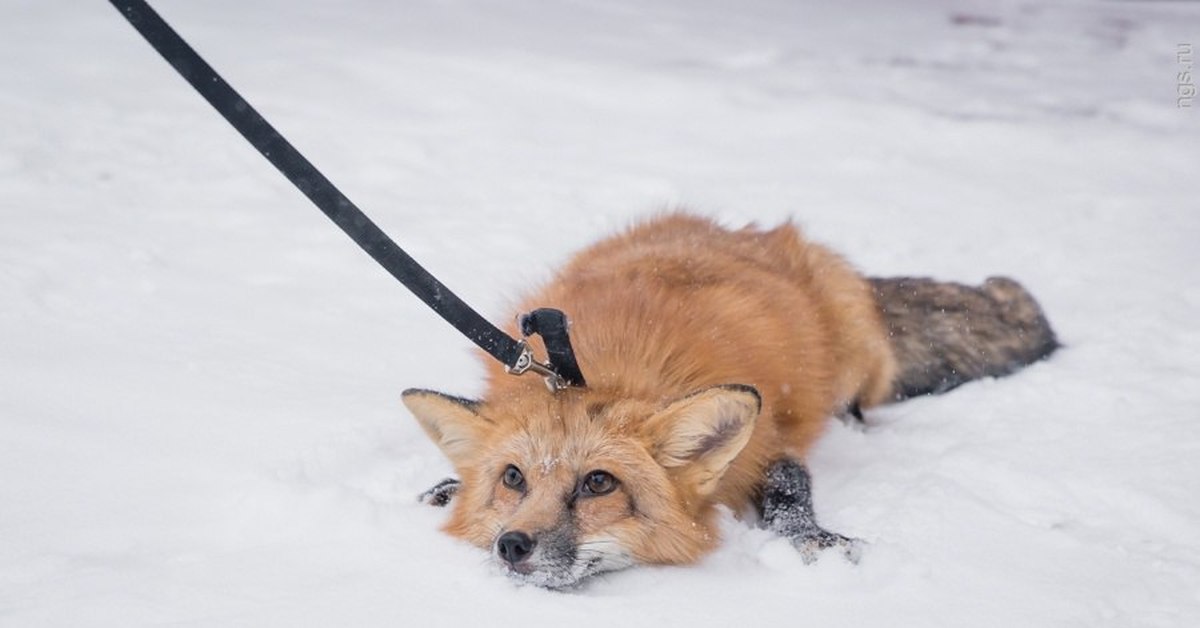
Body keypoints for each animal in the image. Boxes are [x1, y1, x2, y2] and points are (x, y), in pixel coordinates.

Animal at [398, 212, 1056, 590]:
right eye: (513, 478)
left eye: (598, 484)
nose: (512, 545)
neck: (605, 366)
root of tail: (758, 233)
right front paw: (453, 489)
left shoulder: (768, 438)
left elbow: (790, 488)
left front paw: (812, 540)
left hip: (849, 349)